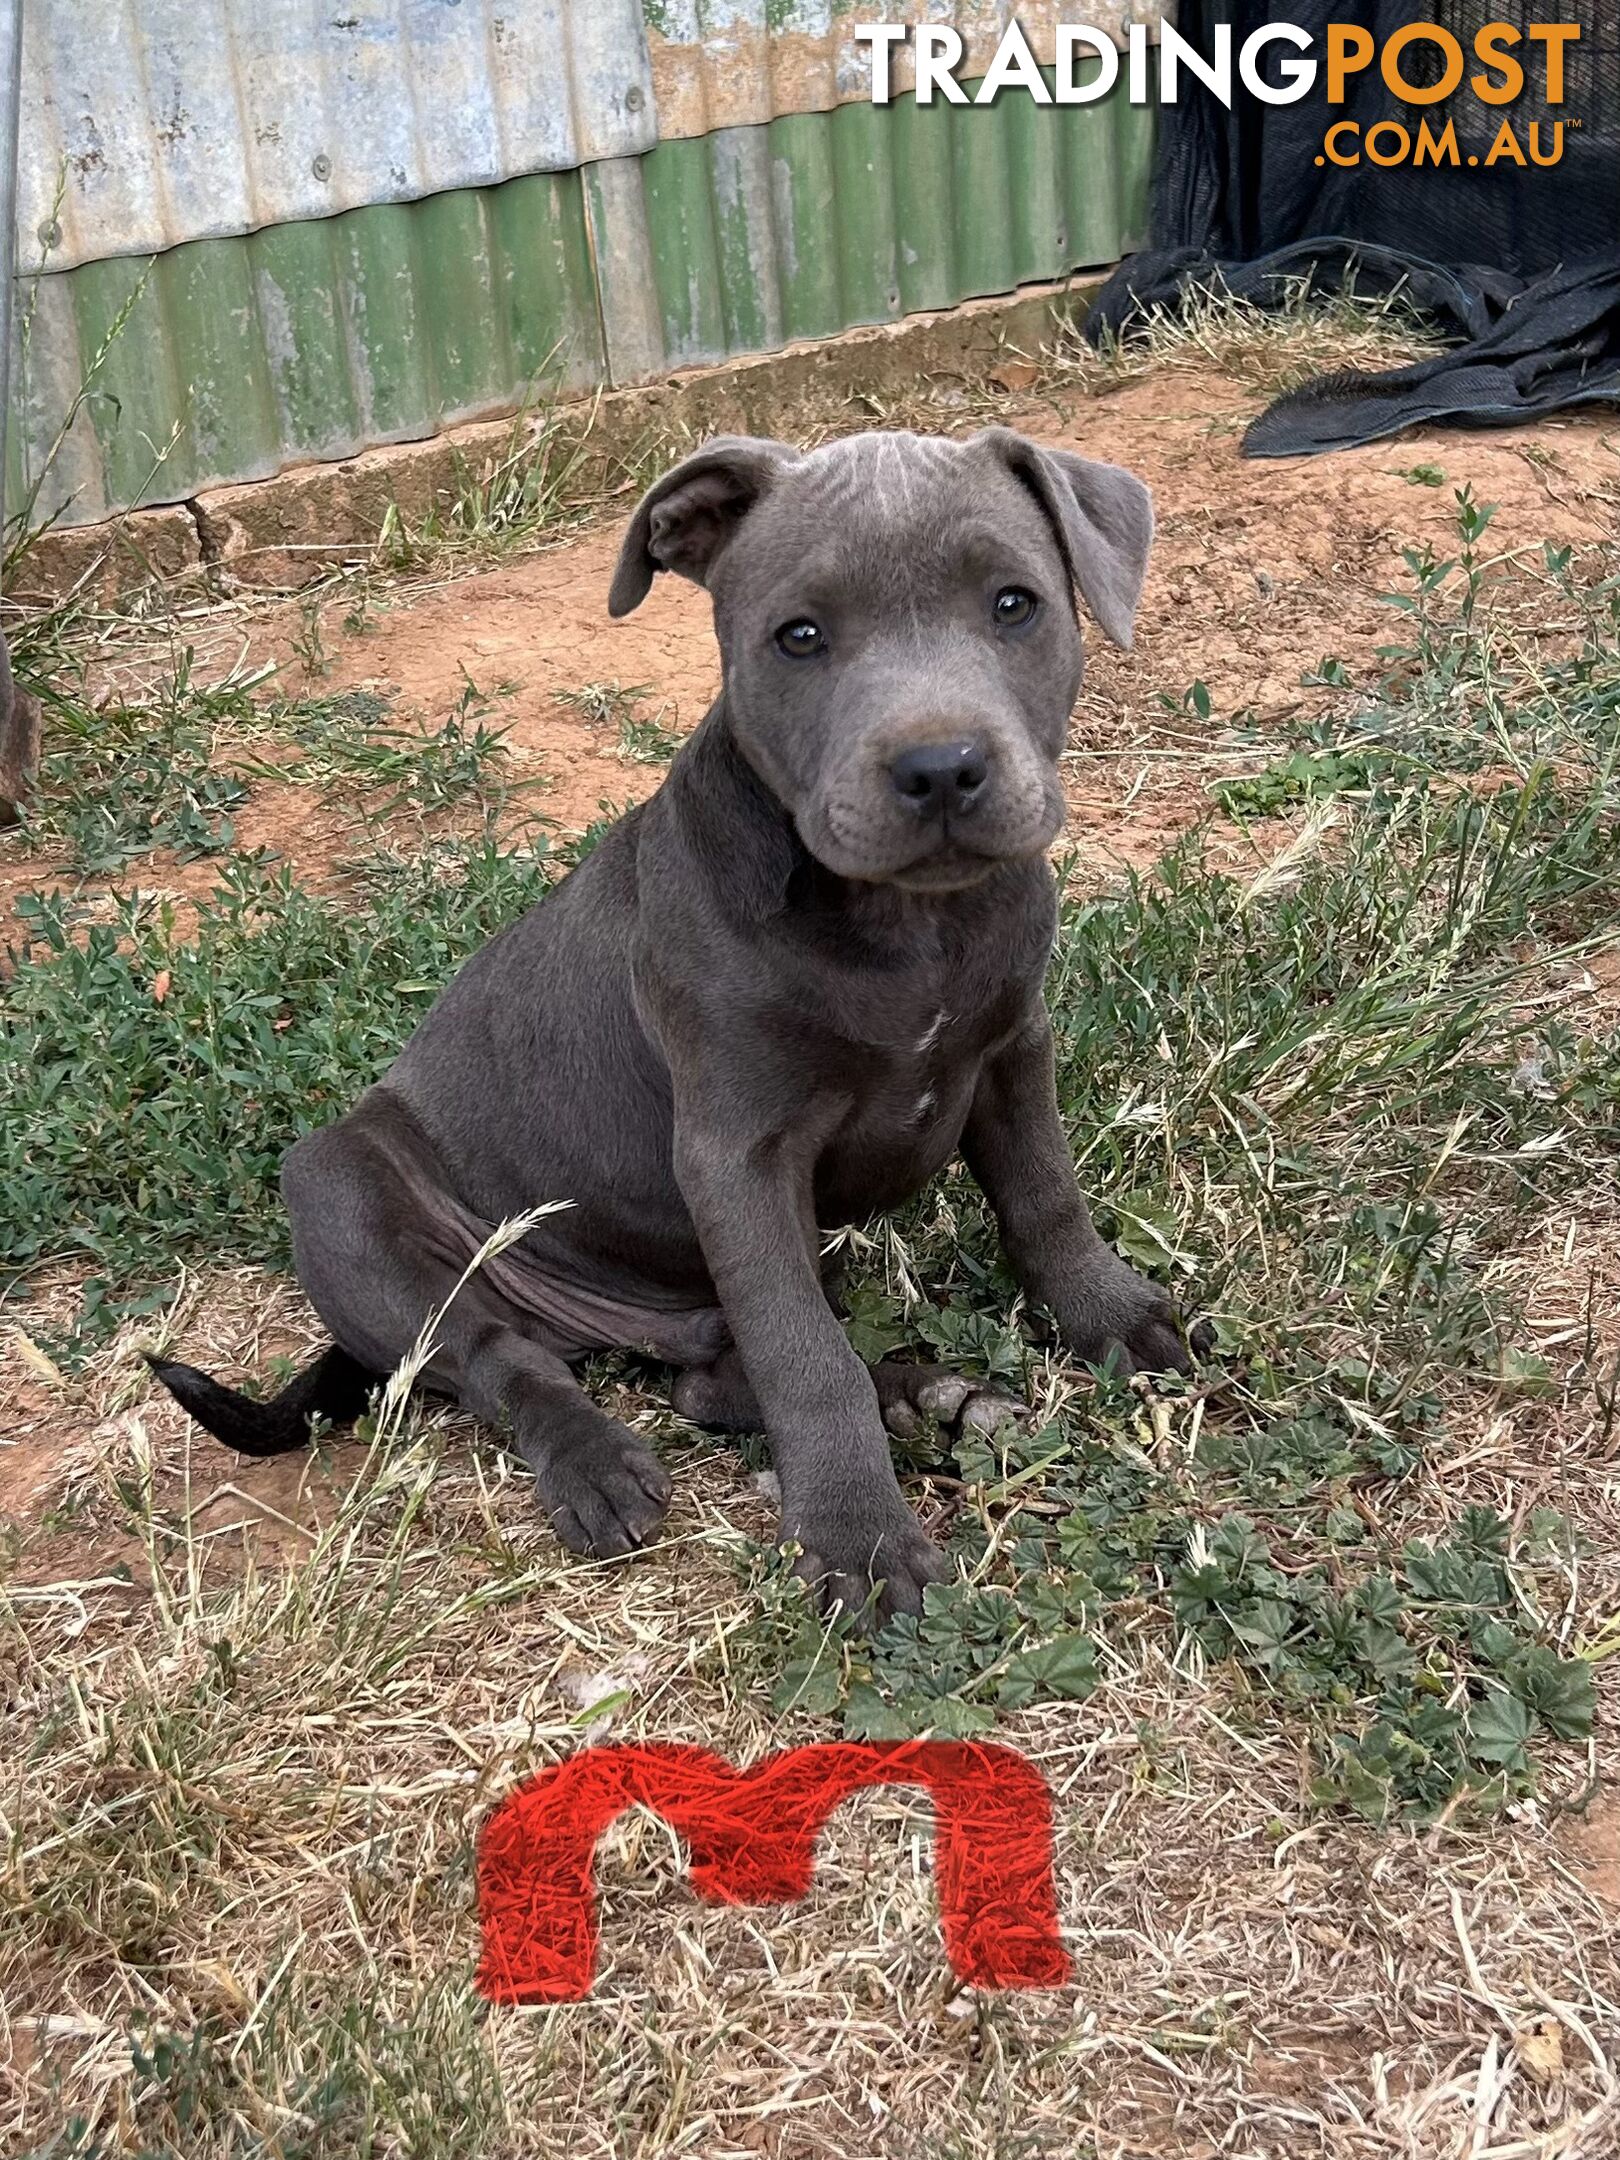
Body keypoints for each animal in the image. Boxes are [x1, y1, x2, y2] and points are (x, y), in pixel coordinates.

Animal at [155, 425, 1209, 1624]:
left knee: (711, 1374)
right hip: (342, 1192)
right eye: (798, 637)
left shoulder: (1011, 1050)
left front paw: (1109, 1316)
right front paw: (857, 1537)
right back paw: (600, 1465)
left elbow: (1043, 1196)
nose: (939, 767)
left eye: (1015, 604)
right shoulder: (735, 1153)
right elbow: (806, 1359)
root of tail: (599, 1321)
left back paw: (928, 1397)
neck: (907, 925)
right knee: (503, 1359)